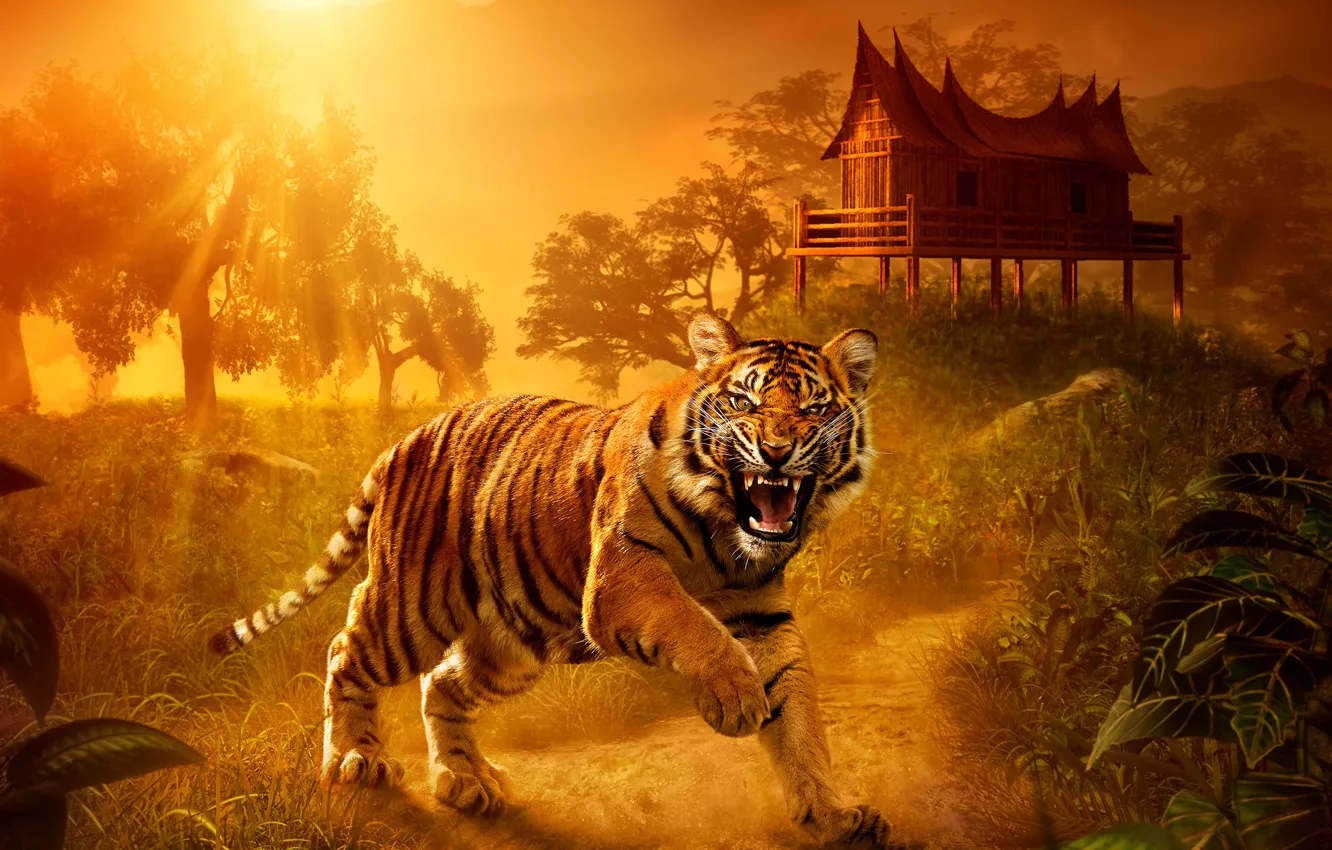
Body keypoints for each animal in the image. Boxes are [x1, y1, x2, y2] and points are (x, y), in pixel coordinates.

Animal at [209, 314, 890, 847]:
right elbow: (691, 623)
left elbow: (799, 716)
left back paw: (466, 781)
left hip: (513, 641)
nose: (775, 452)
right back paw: (357, 760)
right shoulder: (622, 575)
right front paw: (736, 697)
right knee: (346, 649)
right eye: (745, 403)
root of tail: (406, 438)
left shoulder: (761, 614)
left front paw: (832, 815)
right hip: (412, 608)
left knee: (442, 683)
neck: (727, 534)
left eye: (814, 408)